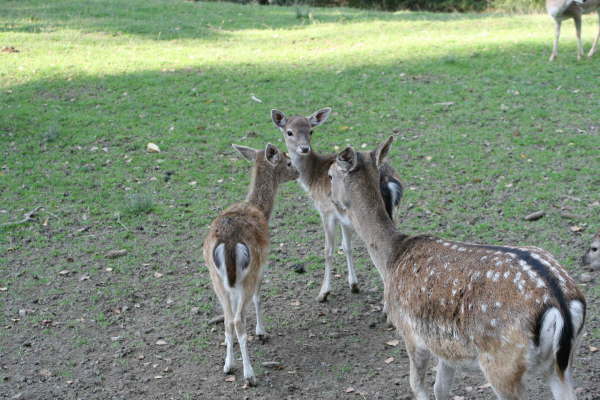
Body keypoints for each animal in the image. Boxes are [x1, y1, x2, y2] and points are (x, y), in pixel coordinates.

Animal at [203, 142, 298, 386]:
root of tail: (228, 242)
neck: (260, 209)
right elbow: (259, 296)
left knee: (228, 320)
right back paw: (250, 374)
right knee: (237, 321)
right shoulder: (261, 265)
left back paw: (228, 366)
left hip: (216, 279)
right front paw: (262, 332)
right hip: (247, 273)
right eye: (288, 161)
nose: (297, 172)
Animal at [270, 108, 404, 302]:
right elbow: (346, 246)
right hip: (394, 212)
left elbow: (329, 249)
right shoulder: (344, 217)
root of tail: (389, 180)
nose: (304, 148)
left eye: (311, 130)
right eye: (289, 132)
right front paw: (354, 285)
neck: (311, 178)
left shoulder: (326, 211)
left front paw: (323, 293)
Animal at [328, 136, 584, 398]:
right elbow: (440, 388)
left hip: (503, 365)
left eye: (329, 175)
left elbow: (417, 386)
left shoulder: (412, 335)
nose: (330, 199)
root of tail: (560, 303)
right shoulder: (444, 349)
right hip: (561, 363)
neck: (391, 258)